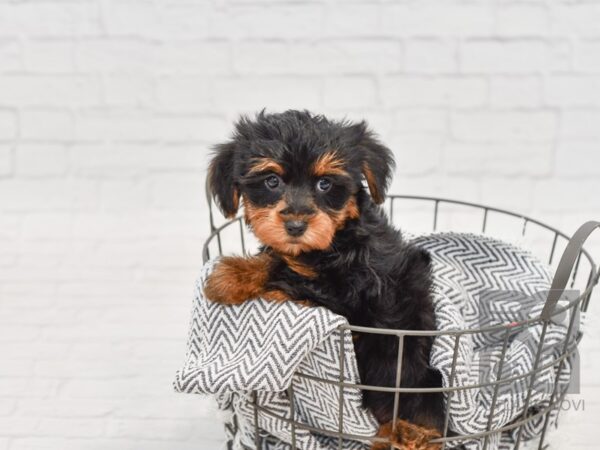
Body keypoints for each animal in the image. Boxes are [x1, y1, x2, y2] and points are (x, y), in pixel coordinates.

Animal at [204, 110, 442, 450]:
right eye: (272, 181)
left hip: (417, 375)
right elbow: (282, 260)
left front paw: (229, 276)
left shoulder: (354, 289)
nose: (295, 225)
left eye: (324, 183)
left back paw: (413, 434)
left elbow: (282, 267)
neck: (334, 238)